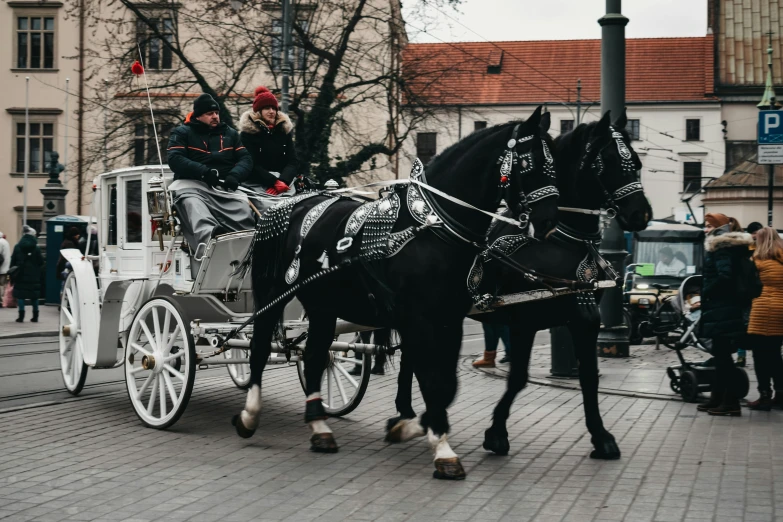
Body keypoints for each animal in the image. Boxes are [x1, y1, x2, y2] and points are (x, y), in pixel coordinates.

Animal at [230, 105, 560, 480]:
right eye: (528, 161)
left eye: (555, 160)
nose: (548, 221)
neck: (431, 227)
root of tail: (288, 204)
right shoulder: (418, 320)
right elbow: (430, 379)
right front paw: (440, 447)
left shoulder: (449, 320)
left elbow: (446, 384)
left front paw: (414, 426)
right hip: (273, 291)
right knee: (258, 347)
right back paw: (250, 414)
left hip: (323, 305)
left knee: (315, 356)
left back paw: (319, 426)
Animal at [388, 109, 652, 460]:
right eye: (606, 161)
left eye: (635, 162)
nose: (641, 214)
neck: (560, 242)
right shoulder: (525, 322)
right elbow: (517, 379)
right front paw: (496, 432)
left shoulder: (585, 319)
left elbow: (588, 376)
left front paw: (601, 436)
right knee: (414, 356)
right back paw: (409, 412)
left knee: (412, 356)